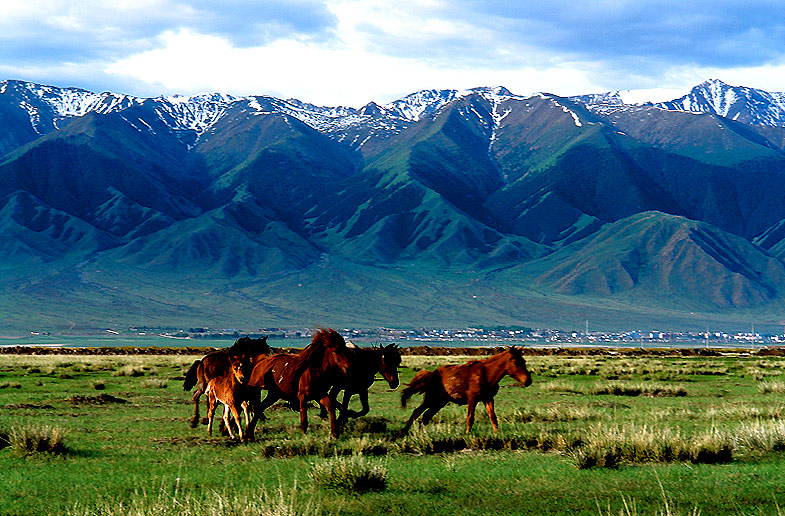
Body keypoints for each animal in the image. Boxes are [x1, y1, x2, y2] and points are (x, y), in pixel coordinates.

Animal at [398, 346, 532, 436]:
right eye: (515, 362)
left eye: (524, 361)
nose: (528, 381)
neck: (486, 374)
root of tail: (431, 375)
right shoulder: (472, 399)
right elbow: (470, 418)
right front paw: (467, 434)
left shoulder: (488, 398)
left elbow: (493, 417)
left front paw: (496, 433)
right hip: (431, 399)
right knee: (417, 412)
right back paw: (404, 432)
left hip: (439, 402)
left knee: (426, 416)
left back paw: (421, 433)